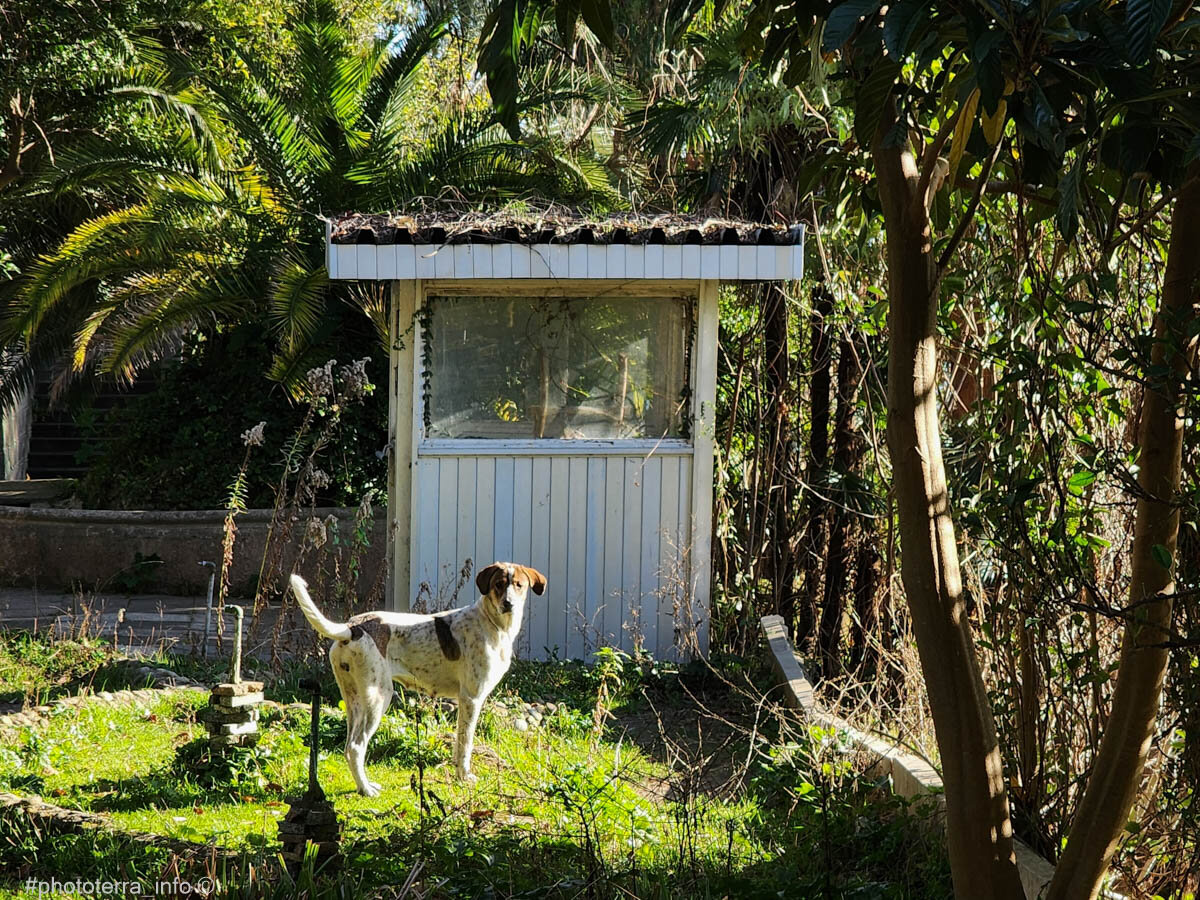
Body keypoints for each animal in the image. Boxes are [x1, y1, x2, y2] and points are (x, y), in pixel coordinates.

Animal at [290, 561, 549, 801]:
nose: (509, 604)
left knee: (347, 747)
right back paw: (366, 790)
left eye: (519, 585)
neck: (492, 624)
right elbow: (465, 745)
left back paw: (364, 785)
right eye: (499, 584)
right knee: (356, 747)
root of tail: (352, 628)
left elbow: (459, 743)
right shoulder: (472, 698)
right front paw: (464, 777)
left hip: (354, 700)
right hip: (379, 698)